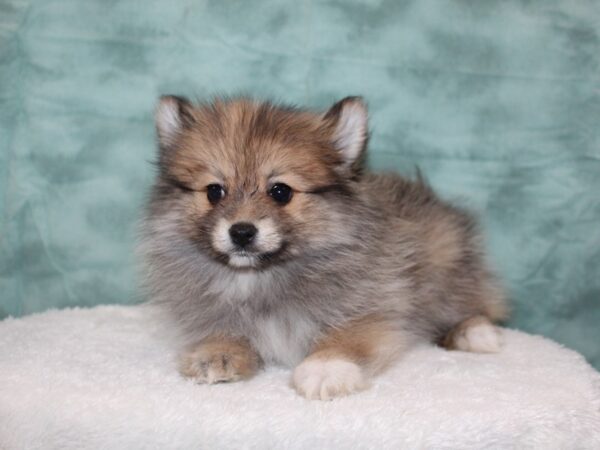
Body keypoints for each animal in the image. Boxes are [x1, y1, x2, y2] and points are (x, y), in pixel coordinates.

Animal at [138, 95, 508, 400]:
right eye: (214, 191)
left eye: (281, 192)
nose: (241, 231)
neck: (261, 278)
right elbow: (225, 330)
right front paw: (217, 353)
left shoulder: (371, 308)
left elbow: (345, 338)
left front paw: (325, 368)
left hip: (448, 270)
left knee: (474, 305)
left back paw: (476, 334)